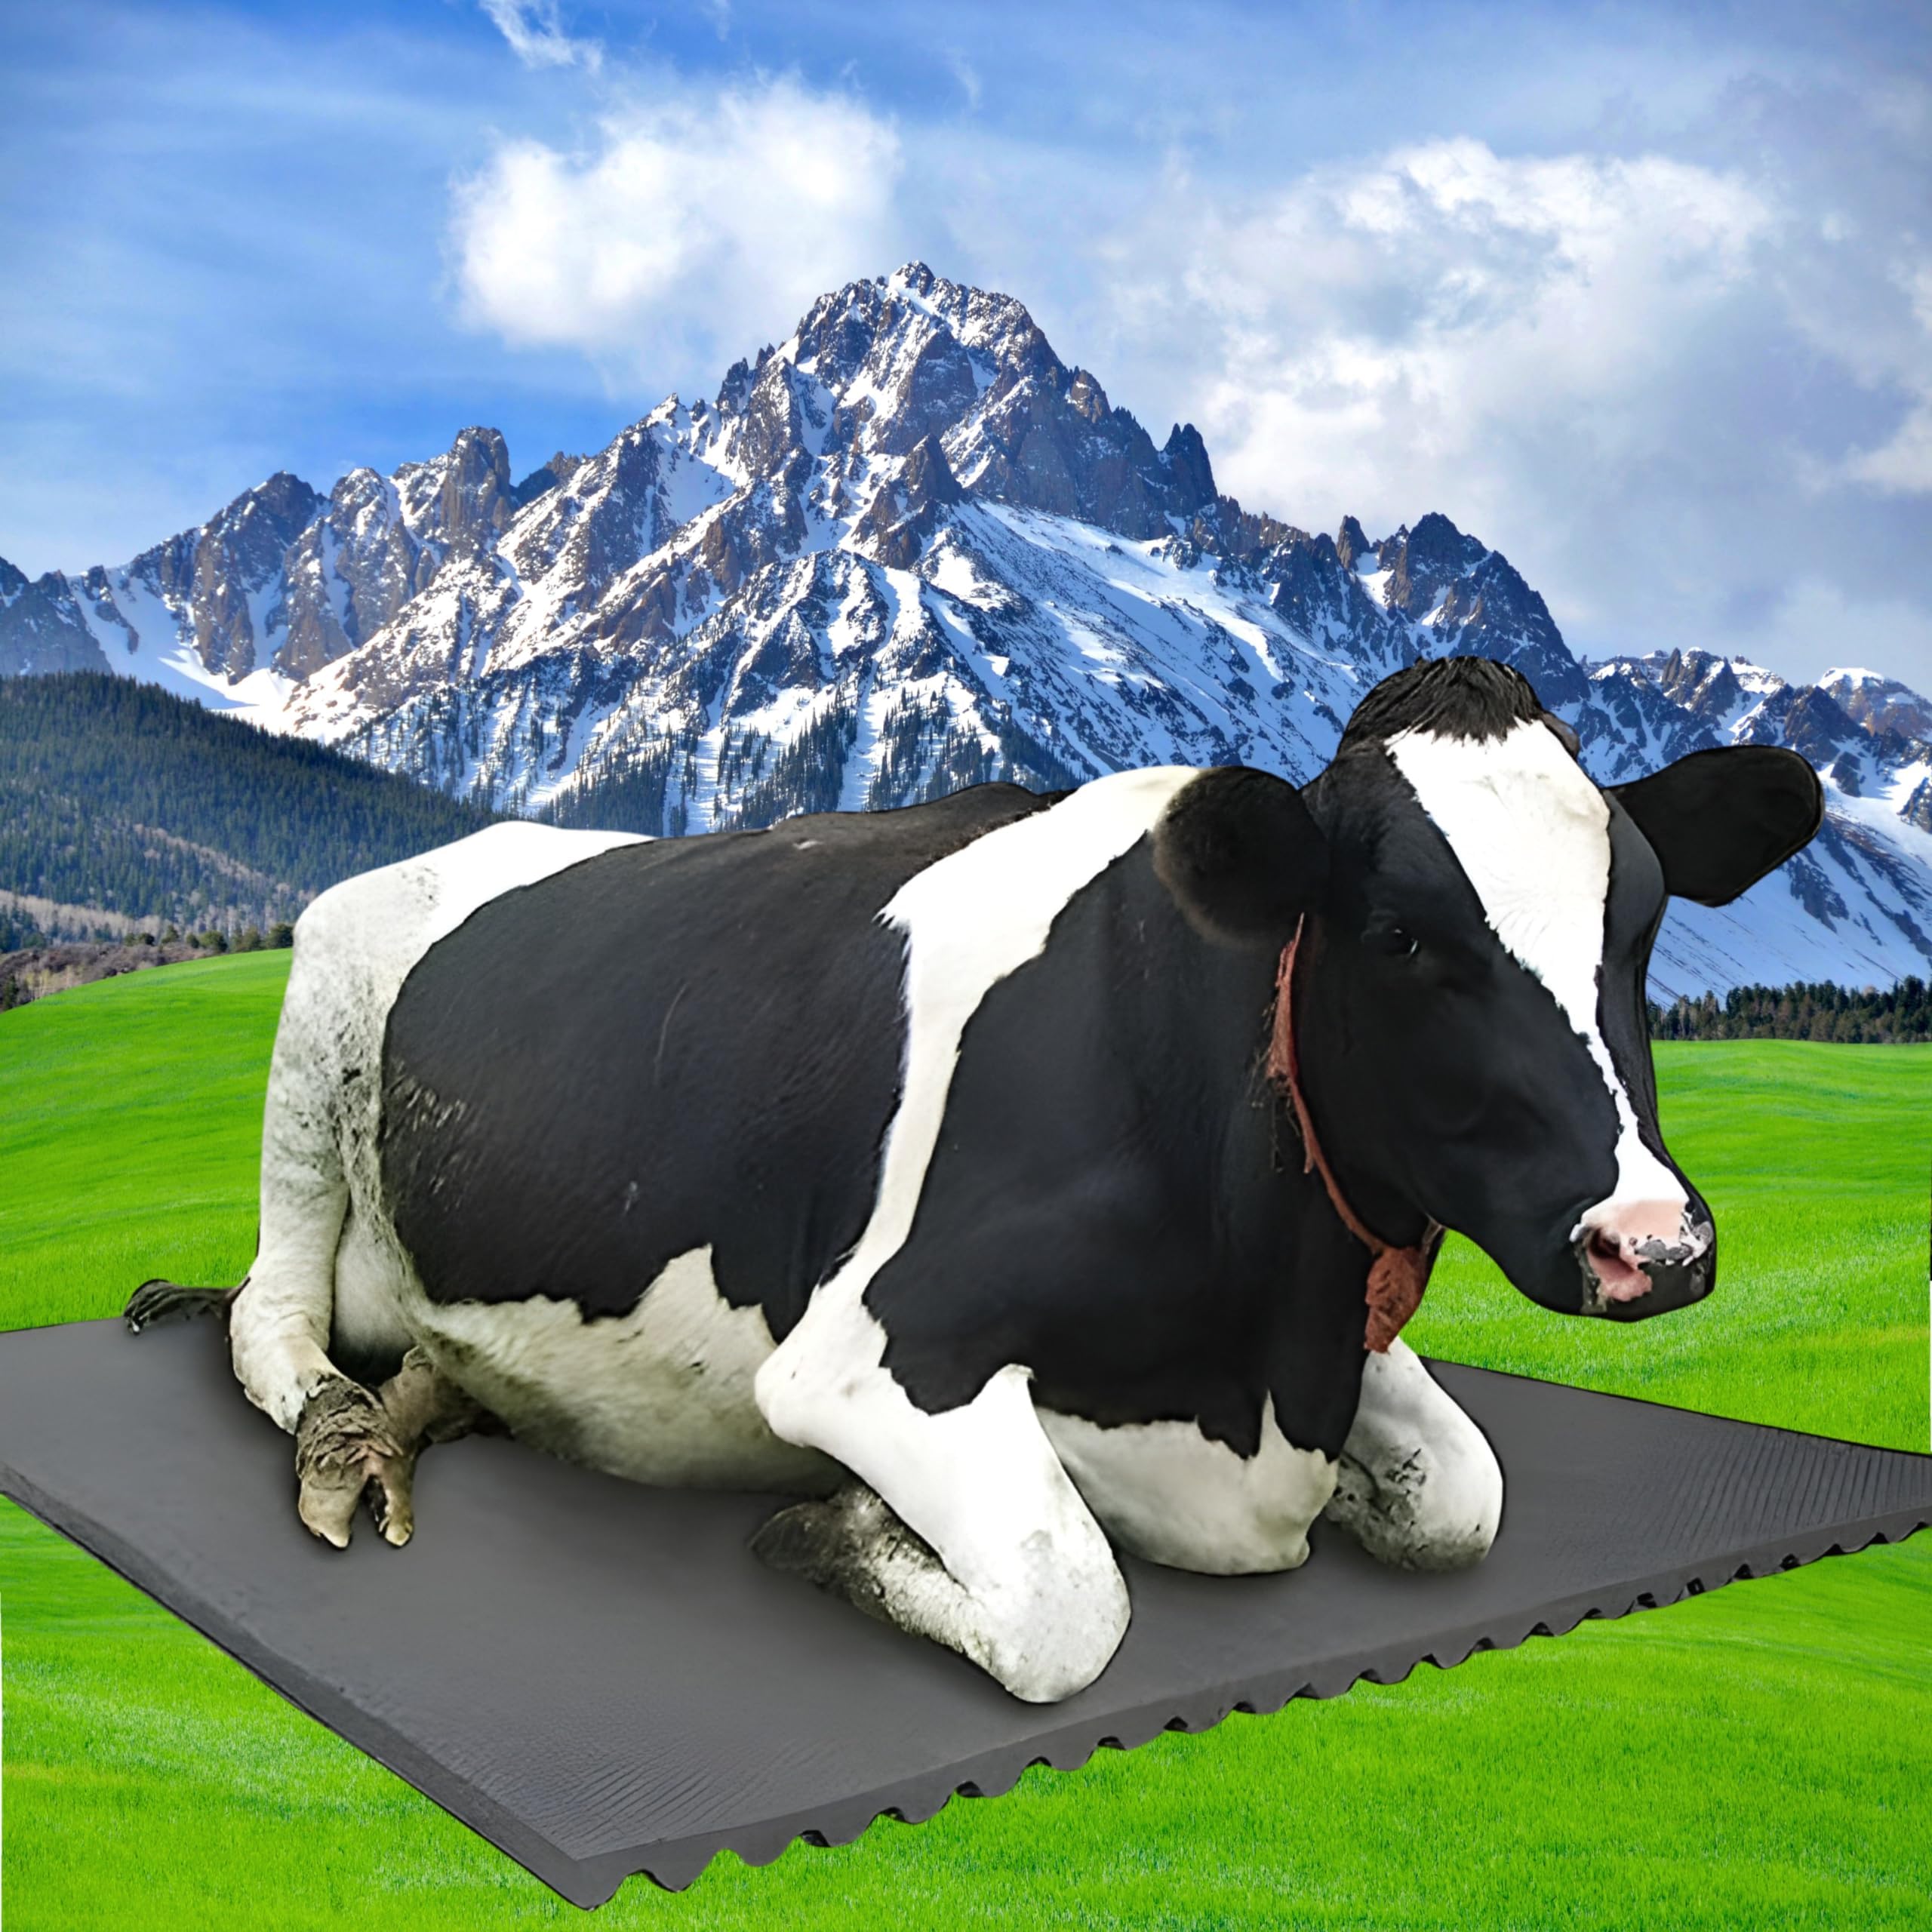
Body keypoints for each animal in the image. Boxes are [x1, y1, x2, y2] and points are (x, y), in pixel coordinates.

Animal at [126, 657, 1822, 1703]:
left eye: (1641, 924)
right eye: (1402, 934)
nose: (1652, 1242)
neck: (1262, 1353)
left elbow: (1463, 1496)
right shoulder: (865, 1354)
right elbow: (1072, 1602)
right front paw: (833, 1533)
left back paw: (445, 1394)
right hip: (312, 1048)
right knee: (270, 1318)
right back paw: (350, 1429)